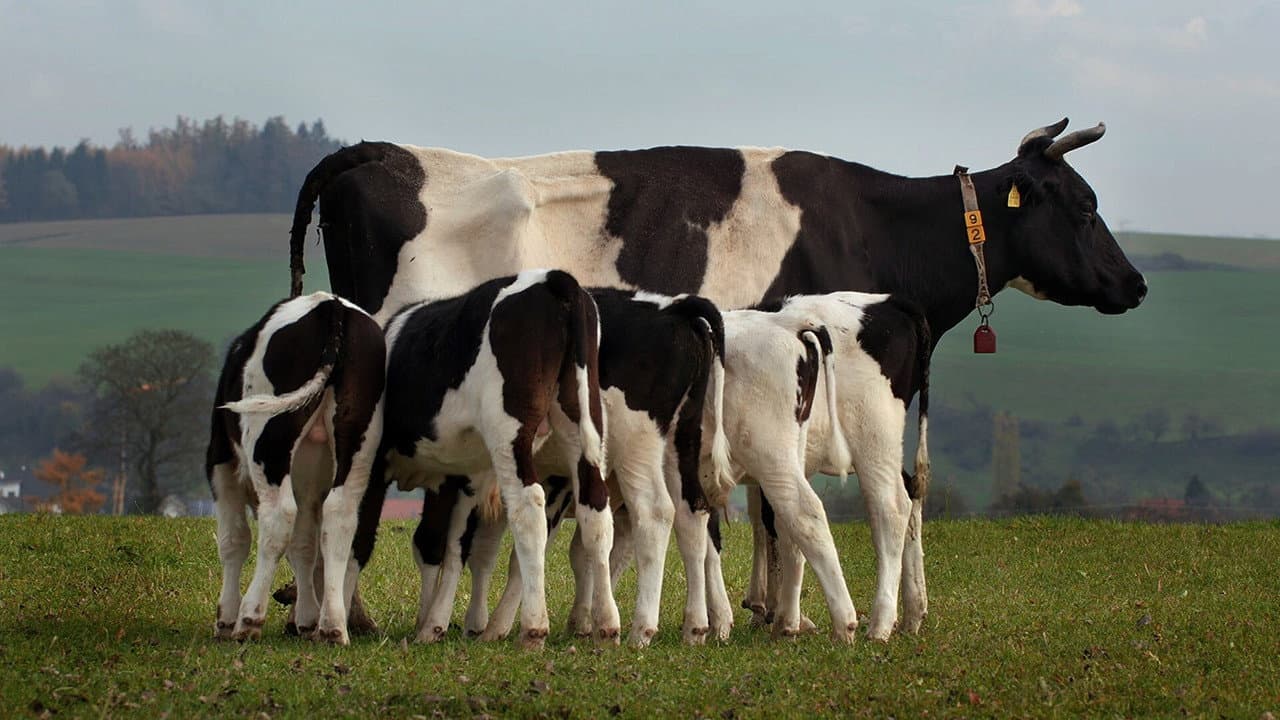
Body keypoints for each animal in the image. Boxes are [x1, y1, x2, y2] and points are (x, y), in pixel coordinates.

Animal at [206, 291, 385, 645]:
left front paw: (226, 618)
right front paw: (306, 618)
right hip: (357, 443)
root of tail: (330, 305)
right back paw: (332, 625)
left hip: (269, 441)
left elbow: (234, 540)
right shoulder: (309, 483)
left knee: (278, 518)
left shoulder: (220, 462)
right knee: (340, 517)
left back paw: (250, 618)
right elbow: (304, 545)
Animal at [352, 269, 618, 649]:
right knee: (595, 510)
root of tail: (553, 278)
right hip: (582, 424)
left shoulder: (375, 465)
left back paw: (533, 628)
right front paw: (429, 623)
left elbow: (361, 538)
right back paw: (607, 624)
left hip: (509, 434)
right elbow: (440, 544)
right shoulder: (458, 477)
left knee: (529, 508)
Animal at [395, 288, 733, 647]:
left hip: (636, 446)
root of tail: (674, 307)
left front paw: (433, 622)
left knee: (655, 513)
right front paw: (481, 624)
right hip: (682, 442)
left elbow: (446, 544)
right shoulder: (546, 479)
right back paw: (696, 625)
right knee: (693, 515)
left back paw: (641, 628)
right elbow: (496, 550)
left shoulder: (464, 478)